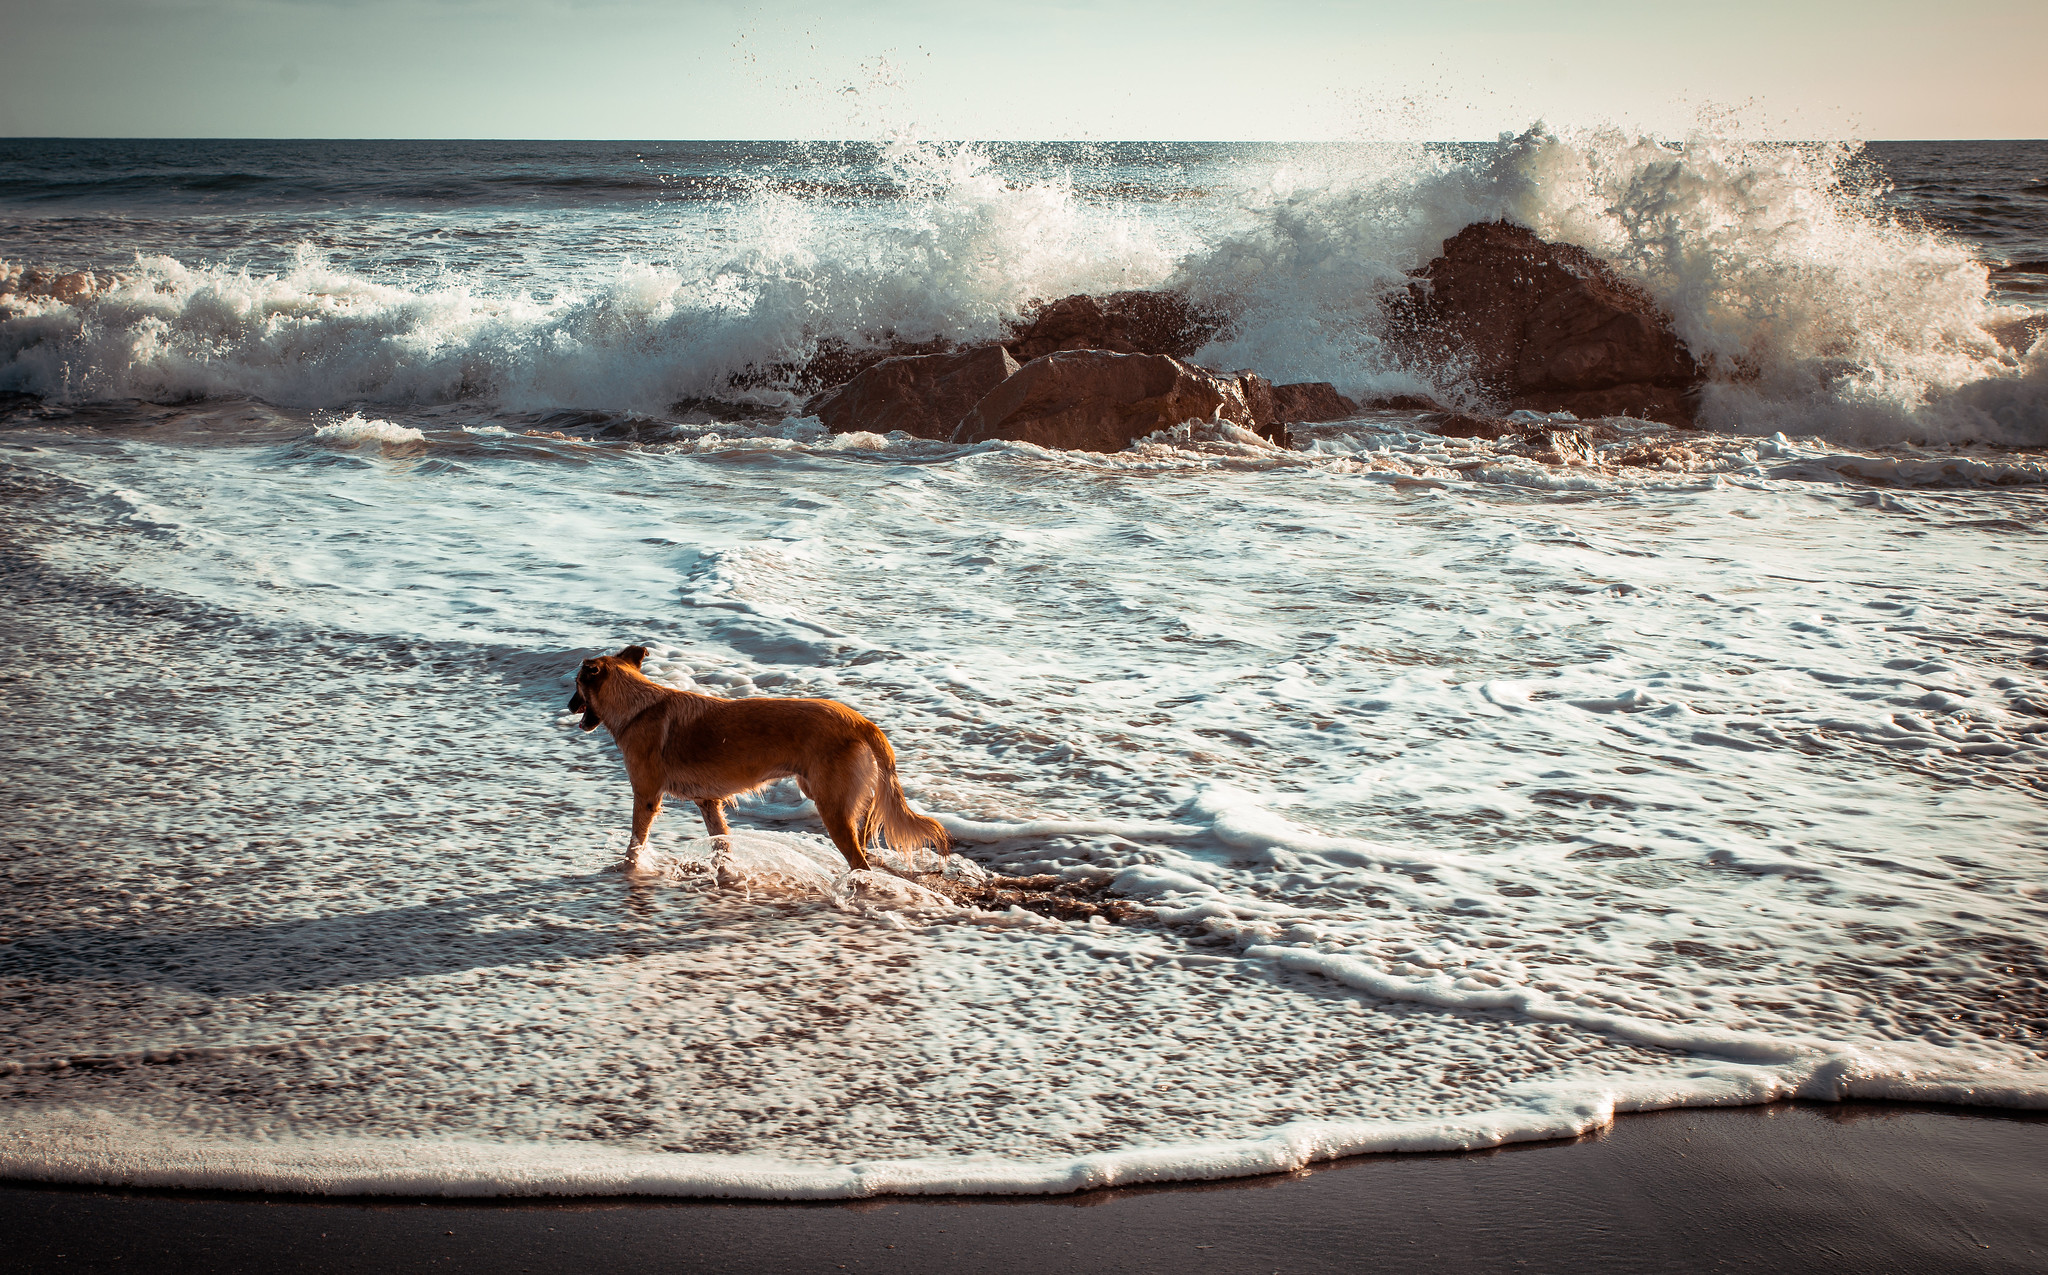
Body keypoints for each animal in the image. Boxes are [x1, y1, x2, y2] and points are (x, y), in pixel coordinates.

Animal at [569, 642, 950, 871]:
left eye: (576, 687)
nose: (569, 707)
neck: (637, 705)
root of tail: (860, 721)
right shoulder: (708, 802)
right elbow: (721, 842)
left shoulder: (646, 796)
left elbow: (636, 842)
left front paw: (628, 868)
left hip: (832, 808)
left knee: (859, 861)